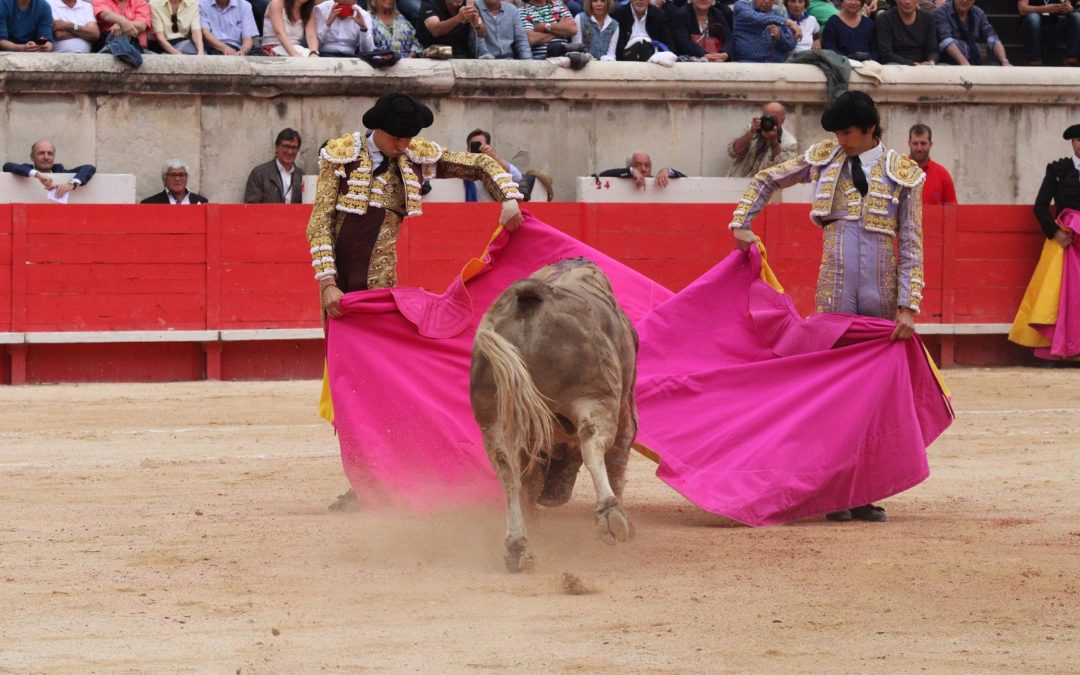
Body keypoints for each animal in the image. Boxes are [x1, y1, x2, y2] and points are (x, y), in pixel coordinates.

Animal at [468, 254, 635, 570]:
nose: (554, 497)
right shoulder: (625, 413)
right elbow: (617, 460)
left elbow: (528, 479)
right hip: (595, 396)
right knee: (592, 441)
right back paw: (611, 515)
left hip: (493, 417)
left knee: (507, 470)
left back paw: (517, 545)